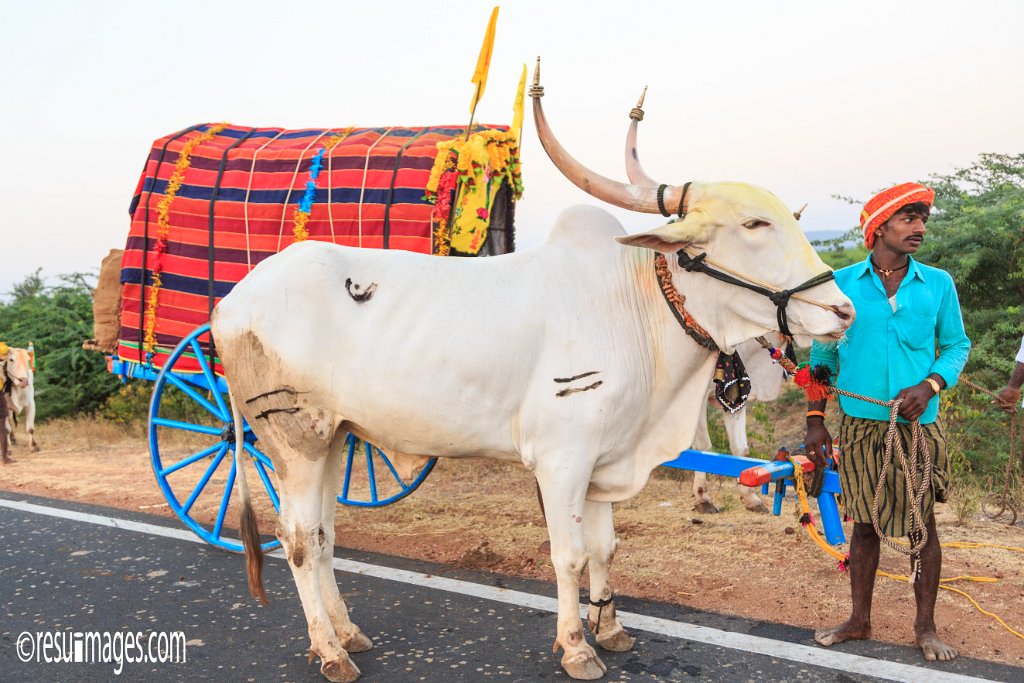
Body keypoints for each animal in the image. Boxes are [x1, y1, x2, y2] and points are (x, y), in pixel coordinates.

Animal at [211, 74, 851, 683]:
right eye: (753, 223)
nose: (842, 311)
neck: (635, 303)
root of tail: (231, 302)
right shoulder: (562, 459)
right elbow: (569, 556)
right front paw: (576, 647)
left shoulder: (603, 461)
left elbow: (606, 547)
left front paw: (611, 628)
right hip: (293, 442)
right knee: (297, 541)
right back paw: (329, 651)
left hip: (334, 439)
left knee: (323, 537)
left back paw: (347, 634)